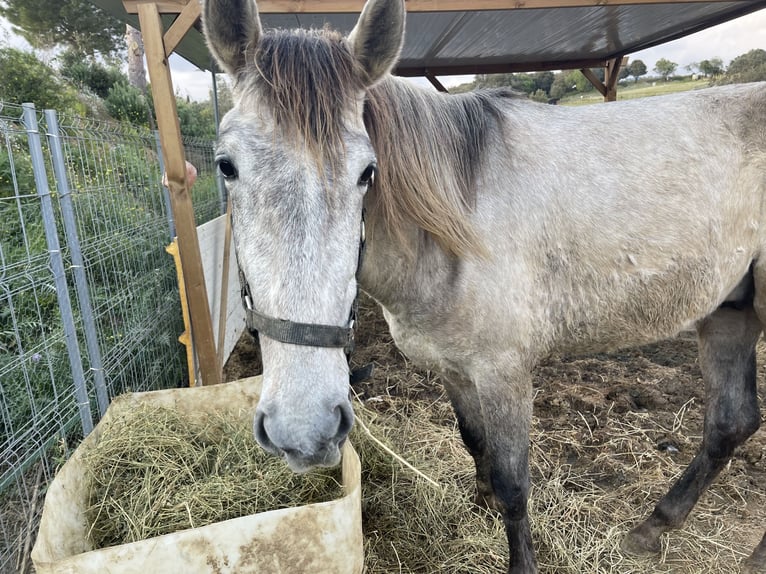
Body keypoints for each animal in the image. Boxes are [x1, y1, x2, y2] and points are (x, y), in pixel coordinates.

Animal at [201, 0, 766, 571]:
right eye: (226, 166)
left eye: (367, 173)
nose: (304, 430)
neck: (456, 228)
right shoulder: (454, 368)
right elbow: (476, 443)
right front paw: (480, 503)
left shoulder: (505, 372)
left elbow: (515, 483)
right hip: (729, 312)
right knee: (731, 423)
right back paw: (654, 528)